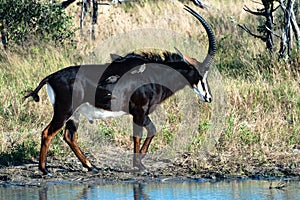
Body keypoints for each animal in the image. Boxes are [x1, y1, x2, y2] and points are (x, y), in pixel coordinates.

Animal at [23, 5, 216, 175]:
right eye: (201, 73)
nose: (208, 97)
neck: (152, 75)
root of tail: (51, 77)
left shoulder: (141, 113)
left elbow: (151, 131)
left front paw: (139, 162)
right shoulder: (139, 111)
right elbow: (141, 134)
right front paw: (140, 166)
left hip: (74, 114)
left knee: (69, 136)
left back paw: (91, 166)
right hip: (64, 111)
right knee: (47, 133)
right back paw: (45, 170)